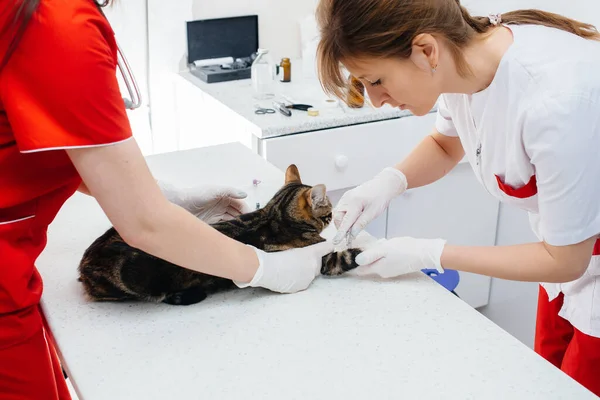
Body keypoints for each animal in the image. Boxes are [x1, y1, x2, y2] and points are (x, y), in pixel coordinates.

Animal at [78, 164, 364, 304]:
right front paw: (365, 251)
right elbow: (345, 256)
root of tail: (84, 265)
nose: (334, 214)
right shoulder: (323, 258)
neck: (275, 214)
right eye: (329, 211)